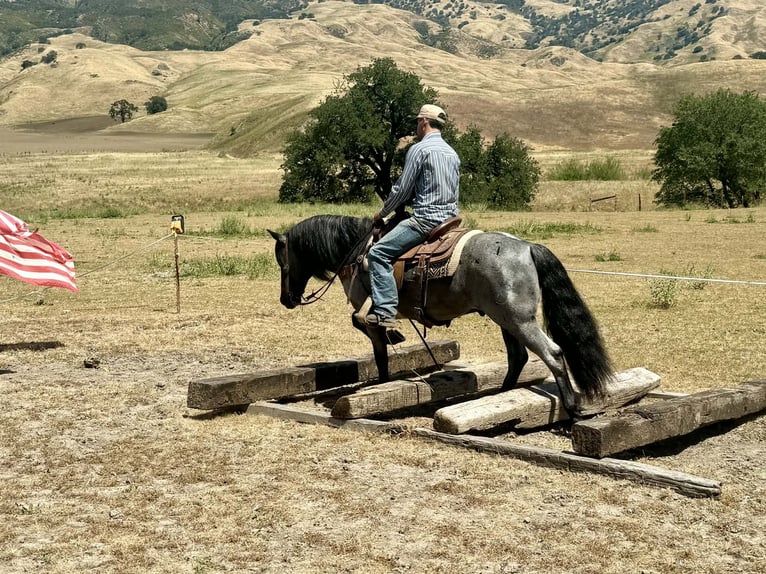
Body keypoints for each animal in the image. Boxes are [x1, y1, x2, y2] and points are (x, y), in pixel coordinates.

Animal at [268, 214, 613, 416]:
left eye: (283, 263)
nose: (286, 300)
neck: (357, 252)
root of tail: (527, 247)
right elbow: (380, 355)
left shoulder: (369, 309)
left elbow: (372, 335)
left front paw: (392, 342)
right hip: (506, 319)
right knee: (518, 357)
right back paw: (499, 395)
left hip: (519, 320)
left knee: (552, 353)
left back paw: (571, 408)